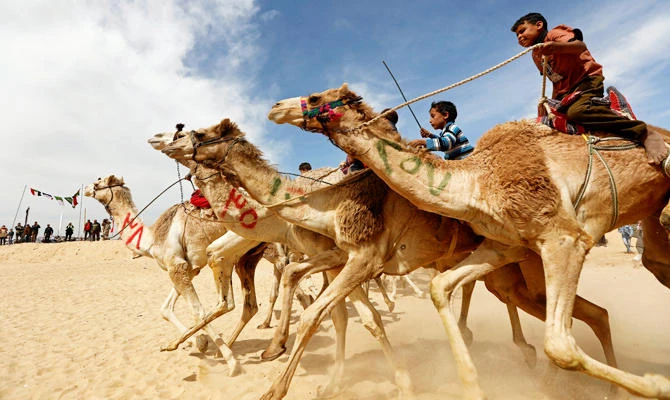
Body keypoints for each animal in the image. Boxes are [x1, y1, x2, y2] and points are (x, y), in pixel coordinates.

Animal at [84, 175, 267, 376]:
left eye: (97, 183)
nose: (85, 189)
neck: (153, 238)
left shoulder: (176, 266)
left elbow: (196, 311)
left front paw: (224, 357)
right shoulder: (188, 268)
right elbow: (165, 308)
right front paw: (198, 342)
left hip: (229, 247)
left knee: (226, 302)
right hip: (247, 256)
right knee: (248, 303)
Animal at [160, 118, 620, 400]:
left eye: (195, 133)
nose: (162, 139)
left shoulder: (359, 257)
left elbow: (331, 314)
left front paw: (275, 383)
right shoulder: (338, 257)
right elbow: (344, 311)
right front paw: (308, 369)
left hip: (524, 259)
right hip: (510, 267)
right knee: (570, 308)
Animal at [266, 83, 670, 399]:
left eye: (315, 95)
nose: (275, 107)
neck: (478, 181)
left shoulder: (563, 237)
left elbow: (560, 344)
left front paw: (656, 385)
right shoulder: (505, 244)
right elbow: (440, 287)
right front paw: (473, 385)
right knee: (632, 284)